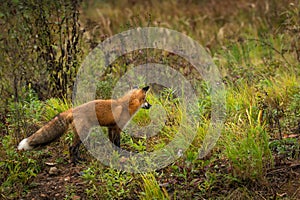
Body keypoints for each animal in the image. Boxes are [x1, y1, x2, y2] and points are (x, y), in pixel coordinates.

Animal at [17, 86, 151, 162]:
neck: (126, 106)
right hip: (84, 133)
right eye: (145, 100)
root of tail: (72, 110)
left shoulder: (111, 128)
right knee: (71, 148)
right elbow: (117, 143)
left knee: (74, 148)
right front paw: (120, 155)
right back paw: (76, 162)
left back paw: (78, 159)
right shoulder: (117, 129)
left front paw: (114, 154)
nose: (150, 105)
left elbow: (112, 143)